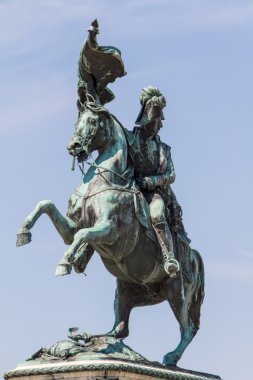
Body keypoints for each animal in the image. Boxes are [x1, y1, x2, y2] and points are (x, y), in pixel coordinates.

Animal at [16, 102, 205, 366]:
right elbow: (47, 206)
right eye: (78, 120)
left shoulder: (110, 230)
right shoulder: (73, 227)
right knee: (120, 330)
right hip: (126, 290)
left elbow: (83, 236)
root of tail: (195, 257)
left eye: (93, 121)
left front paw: (64, 263)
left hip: (177, 294)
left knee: (188, 328)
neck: (106, 180)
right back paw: (89, 340)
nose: (74, 146)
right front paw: (23, 232)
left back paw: (170, 357)